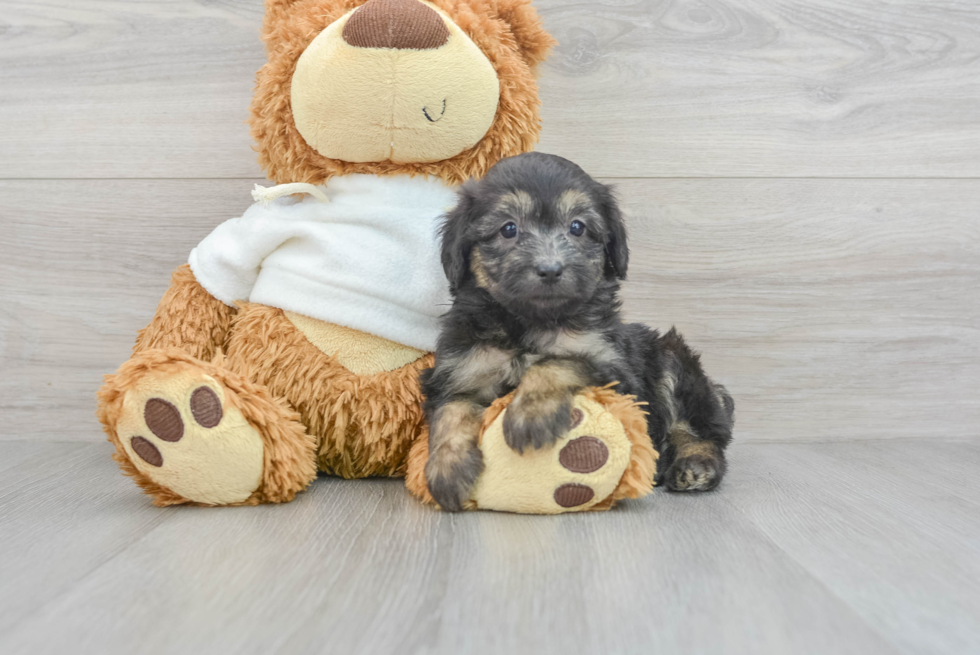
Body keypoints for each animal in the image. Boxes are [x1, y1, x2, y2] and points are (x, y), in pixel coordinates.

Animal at [422, 152, 736, 512]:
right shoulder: (460, 371)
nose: (550, 269)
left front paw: (531, 415)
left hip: (673, 359)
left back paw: (695, 463)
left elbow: (558, 361)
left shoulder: (612, 367)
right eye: (508, 229)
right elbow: (451, 412)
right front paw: (447, 468)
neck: (530, 323)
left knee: (698, 429)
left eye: (577, 227)